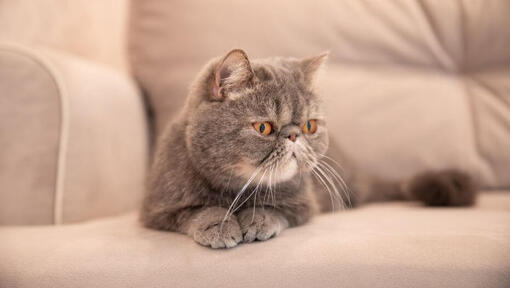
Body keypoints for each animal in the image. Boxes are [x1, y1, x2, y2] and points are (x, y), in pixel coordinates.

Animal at [140, 49, 478, 248]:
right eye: (264, 128)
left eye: (309, 126)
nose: (293, 136)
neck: (239, 189)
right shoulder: (157, 210)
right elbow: (201, 210)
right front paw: (220, 225)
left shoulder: (305, 204)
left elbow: (275, 209)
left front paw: (257, 219)